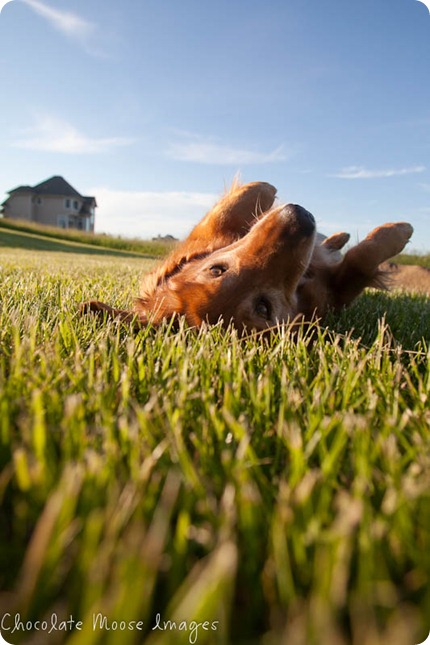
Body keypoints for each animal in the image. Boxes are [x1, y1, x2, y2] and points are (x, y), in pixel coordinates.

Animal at [80, 181, 414, 332]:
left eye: (216, 269)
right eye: (263, 308)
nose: (299, 220)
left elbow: (233, 207)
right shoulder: (335, 297)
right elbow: (359, 263)